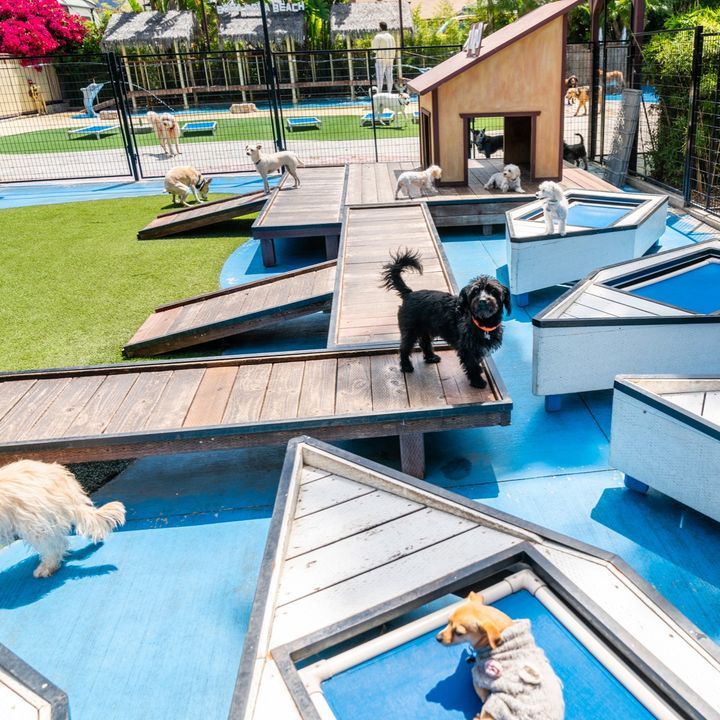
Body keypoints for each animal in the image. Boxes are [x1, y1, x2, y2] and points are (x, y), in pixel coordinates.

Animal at [382, 250, 512, 390]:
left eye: (493, 291)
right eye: (475, 292)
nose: (482, 300)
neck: (481, 322)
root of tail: (409, 293)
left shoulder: (477, 347)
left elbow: (476, 361)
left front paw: (479, 373)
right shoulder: (467, 348)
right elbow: (472, 364)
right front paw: (477, 381)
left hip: (425, 329)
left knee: (424, 343)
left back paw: (431, 357)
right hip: (410, 330)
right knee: (404, 348)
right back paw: (406, 366)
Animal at [436, 592, 564, 720]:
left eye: (459, 633)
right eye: (448, 621)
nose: (437, 638)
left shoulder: (479, 676)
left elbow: (479, 689)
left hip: (498, 704)